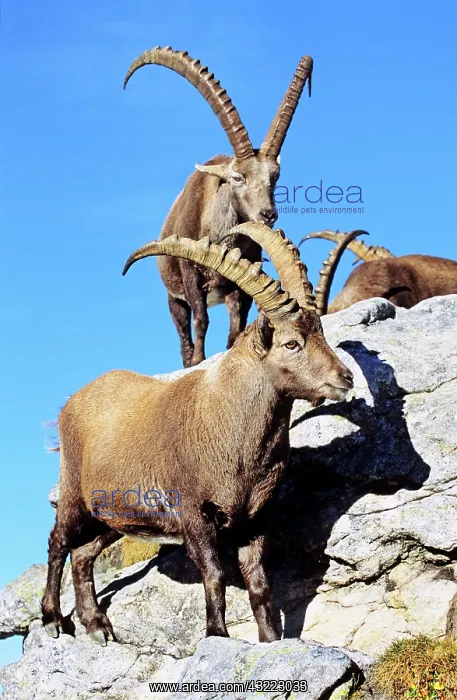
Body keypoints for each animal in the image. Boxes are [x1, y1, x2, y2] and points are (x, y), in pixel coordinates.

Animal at [41, 223, 353, 646]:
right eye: (292, 343)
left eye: (320, 334)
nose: (345, 377)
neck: (235, 437)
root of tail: (71, 403)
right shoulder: (193, 514)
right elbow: (214, 573)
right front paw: (217, 634)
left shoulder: (254, 518)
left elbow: (258, 581)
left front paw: (272, 640)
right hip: (75, 494)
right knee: (59, 543)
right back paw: (53, 619)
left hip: (114, 517)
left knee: (83, 554)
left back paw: (96, 624)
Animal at [123, 46, 313, 367]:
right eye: (238, 177)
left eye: (274, 176)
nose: (268, 214)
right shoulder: (190, 274)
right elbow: (201, 320)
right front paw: (200, 360)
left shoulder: (242, 282)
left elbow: (236, 325)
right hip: (173, 299)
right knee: (184, 333)